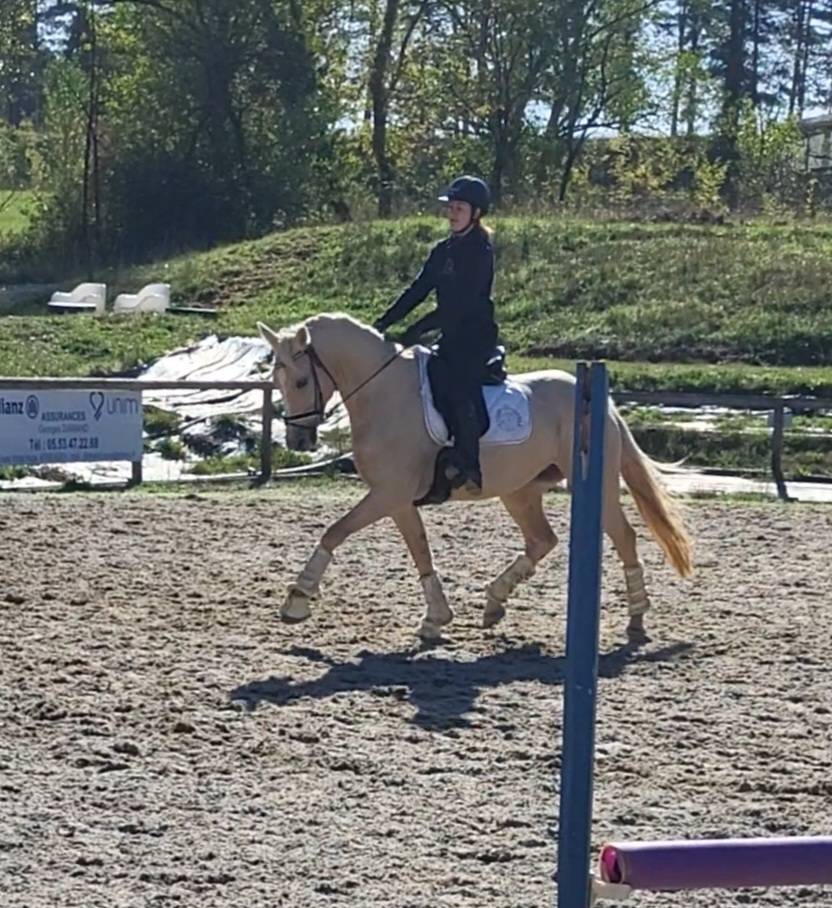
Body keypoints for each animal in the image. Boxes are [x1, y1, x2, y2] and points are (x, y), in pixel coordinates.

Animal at [258, 313, 693, 641]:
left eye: (301, 381)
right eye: (277, 381)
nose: (298, 440)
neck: (382, 392)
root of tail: (601, 401)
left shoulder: (387, 494)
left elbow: (335, 532)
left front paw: (297, 600)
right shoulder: (397, 500)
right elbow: (421, 551)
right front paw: (435, 618)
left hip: (592, 482)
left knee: (623, 536)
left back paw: (636, 616)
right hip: (520, 490)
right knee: (542, 540)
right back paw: (494, 602)